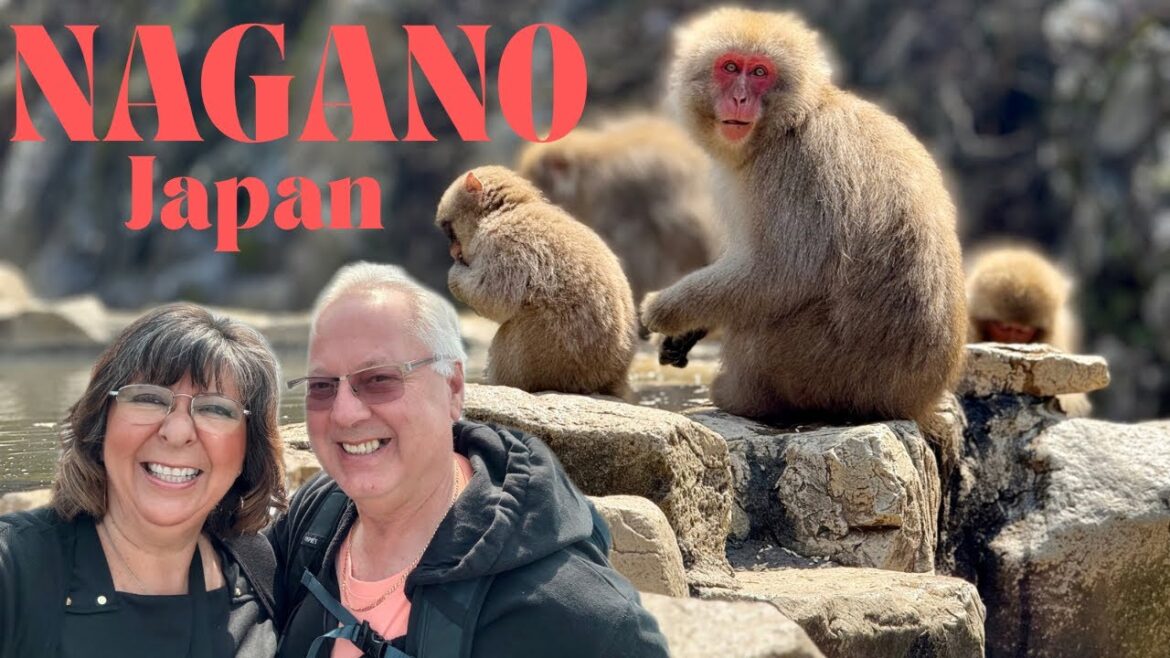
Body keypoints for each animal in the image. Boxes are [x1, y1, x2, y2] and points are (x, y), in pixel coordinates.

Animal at [435, 165, 637, 398]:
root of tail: (613, 376)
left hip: (549, 363)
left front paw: (454, 275)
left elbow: (494, 300)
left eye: (450, 231)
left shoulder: (501, 241)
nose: (453, 253)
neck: (506, 210)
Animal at [638, 7, 967, 424]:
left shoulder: (797, 167)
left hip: (820, 369)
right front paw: (687, 332)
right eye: (729, 67)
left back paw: (741, 397)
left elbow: (781, 271)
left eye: (759, 72)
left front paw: (665, 310)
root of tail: (914, 399)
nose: (740, 98)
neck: (792, 119)